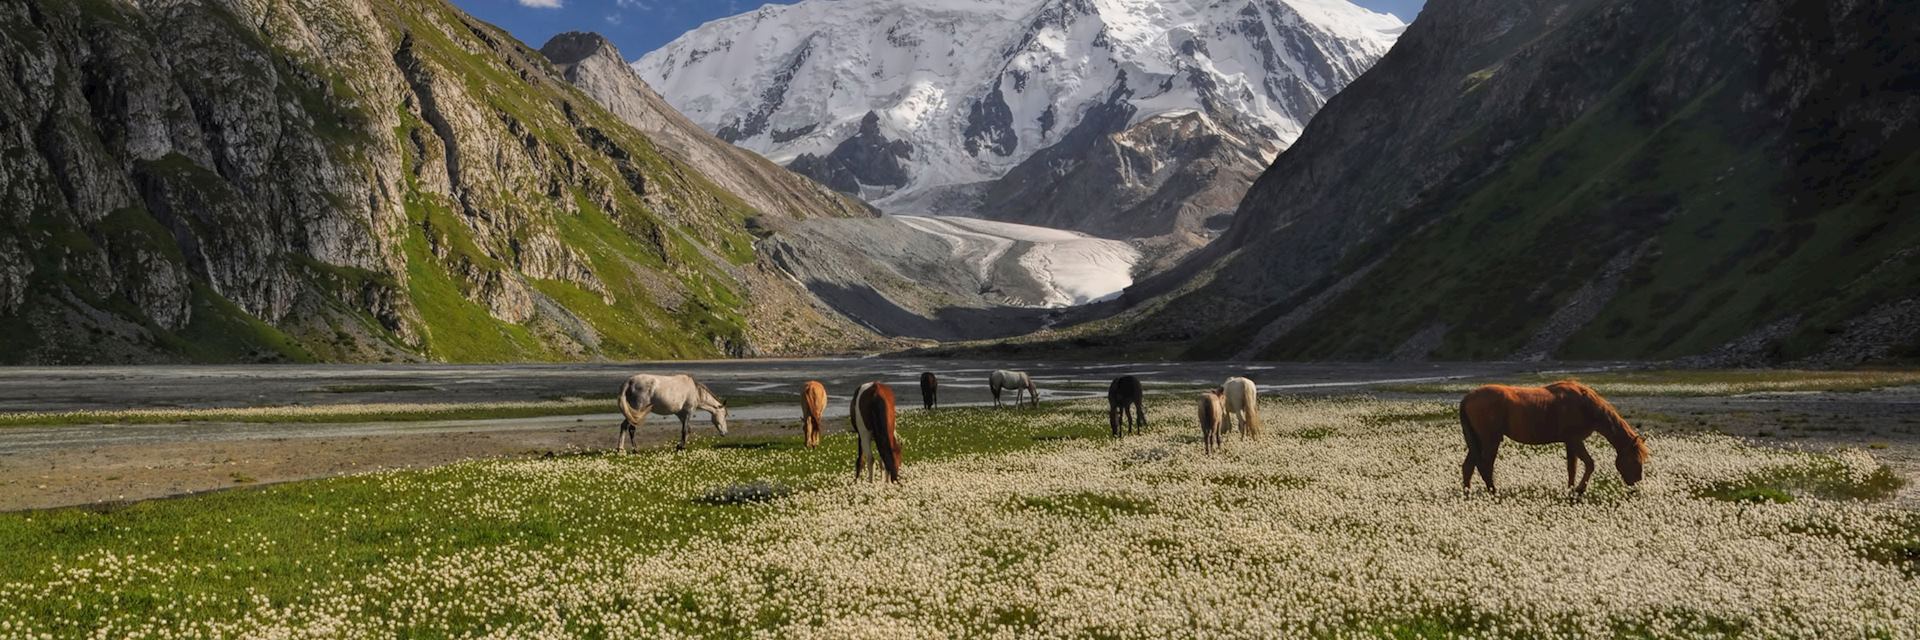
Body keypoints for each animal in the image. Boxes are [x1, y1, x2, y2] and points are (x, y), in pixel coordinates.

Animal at [1451, 378, 1651, 492]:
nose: (1636, 485)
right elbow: (1589, 464)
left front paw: (1571, 490)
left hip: (1477, 440)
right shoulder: (1575, 440)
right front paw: (1580, 489)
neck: (1586, 405)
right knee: (1485, 466)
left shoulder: (1570, 443)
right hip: (1490, 440)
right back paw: (1493, 491)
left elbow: (1572, 468)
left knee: (1468, 466)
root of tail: (1467, 398)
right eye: (1634, 460)